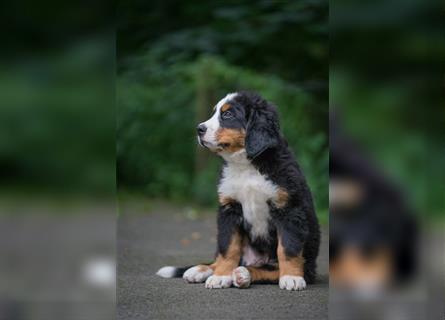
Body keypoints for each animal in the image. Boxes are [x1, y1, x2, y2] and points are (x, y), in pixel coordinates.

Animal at [156, 92, 320, 290]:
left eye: (227, 115)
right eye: (214, 112)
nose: (198, 129)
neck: (246, 166)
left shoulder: (289, 208)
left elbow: (288, 247)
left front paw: (292, 277)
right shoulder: (229, 209)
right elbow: (228, 248)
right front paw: (221, 276)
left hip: (306, 263)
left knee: (272, 269)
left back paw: (244, 274)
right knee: (222, 257)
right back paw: (201, 270)